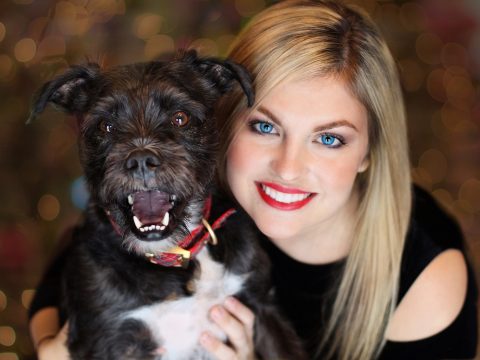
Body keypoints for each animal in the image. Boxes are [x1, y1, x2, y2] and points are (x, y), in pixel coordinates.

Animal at [28, 51, 304, 360]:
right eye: (105, 126)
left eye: (180, 118)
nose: (140, 160)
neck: (176, 256)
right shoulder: (106, 339)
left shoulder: (263, 307)